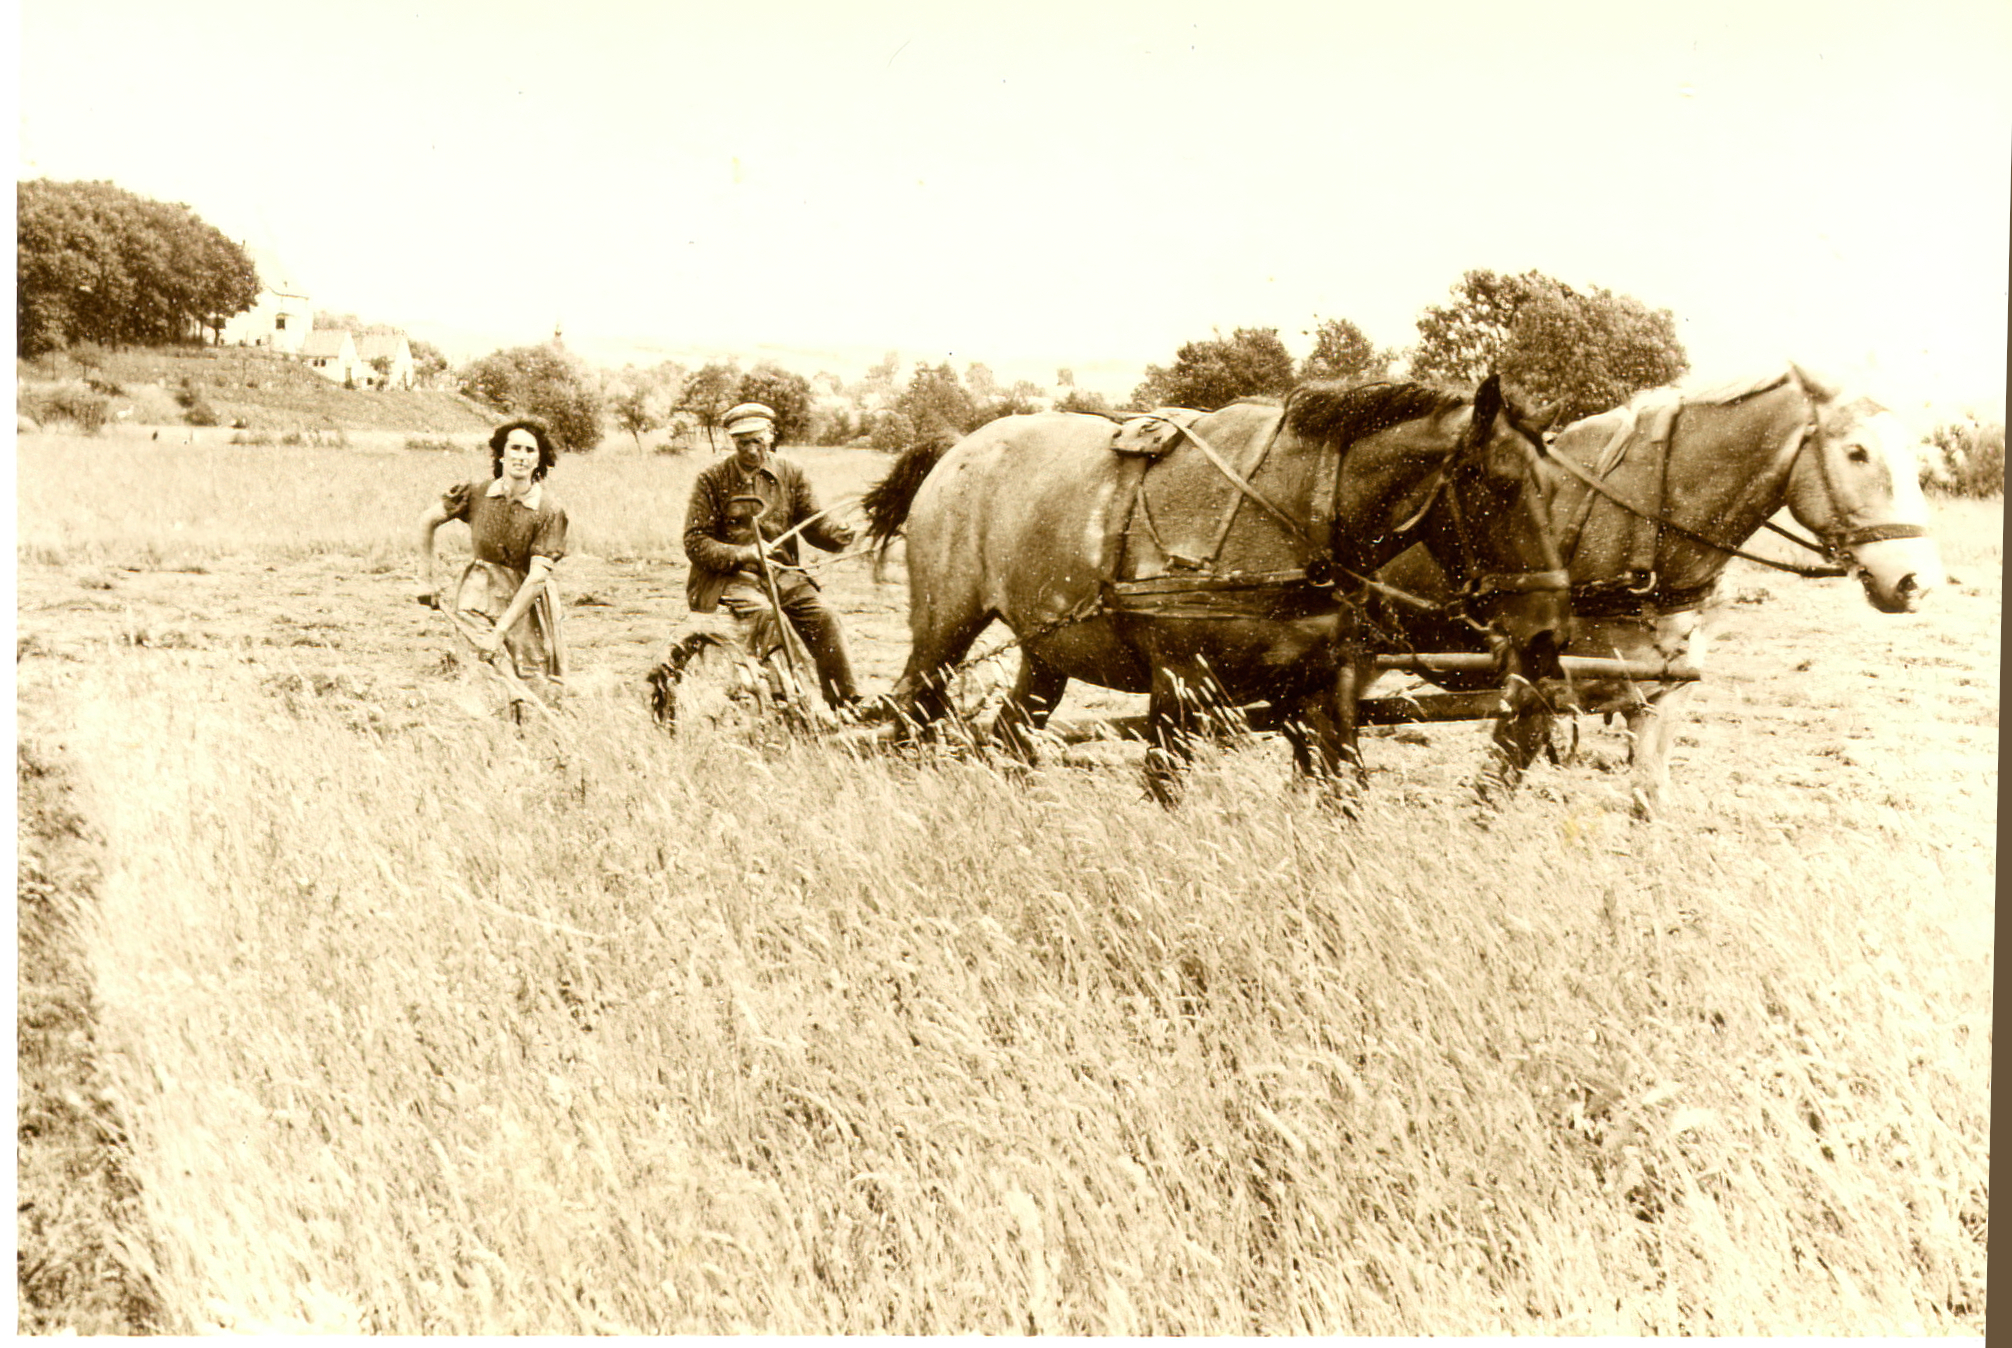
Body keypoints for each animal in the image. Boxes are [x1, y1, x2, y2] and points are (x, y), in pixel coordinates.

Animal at [861, 375, 1570, 807]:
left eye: (1553, 484)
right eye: (1499, 484)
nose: (1548, 631)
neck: (1293, 510)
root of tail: (958, 447)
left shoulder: (1320, 688)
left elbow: (1341, 792)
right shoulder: (1178, 686)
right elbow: (1164, 790)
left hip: (1045, 650)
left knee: (1011, 736)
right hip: (943, 632)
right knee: (909, 720)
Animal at [1370, 364, 1945, 817]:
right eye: (1856, 452)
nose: (1915, 583)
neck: (1641, 525)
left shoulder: (1659, 700)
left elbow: (1648, 801)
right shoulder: (1531, 699)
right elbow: (1490, 797)